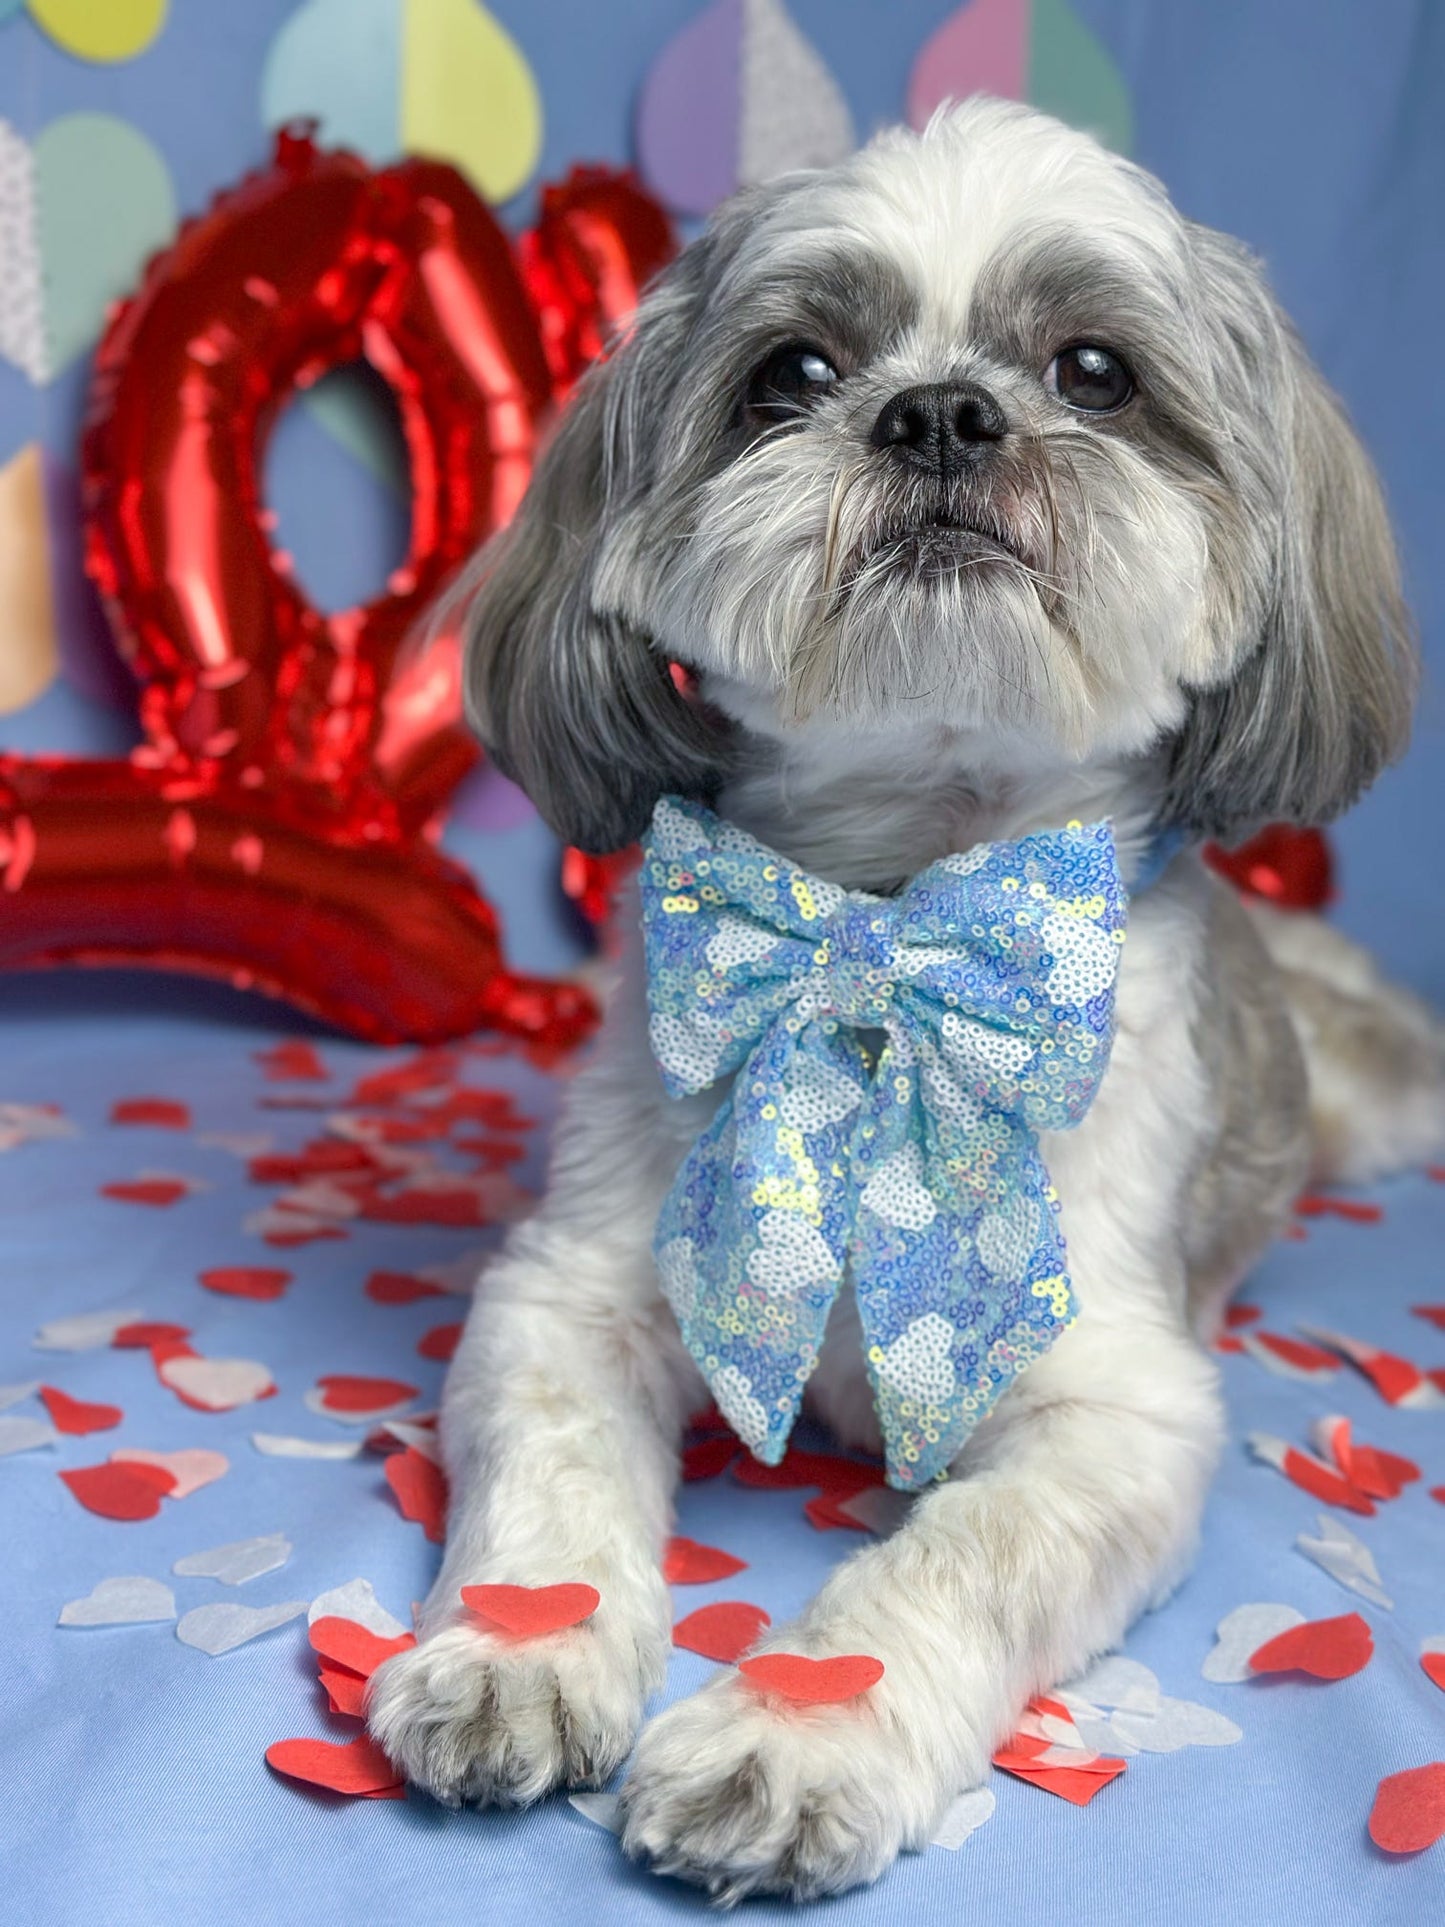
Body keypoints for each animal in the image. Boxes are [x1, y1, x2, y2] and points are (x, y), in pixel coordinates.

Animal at [367, 101, 1441, 1896]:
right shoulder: (571, 1291)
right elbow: (556, 1476)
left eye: (1094, 371)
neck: (889, 914)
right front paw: (516, 1648)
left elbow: (955, 1558)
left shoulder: (1106, 1411)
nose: (940, 409)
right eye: (791, 372)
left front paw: (793, 1735)